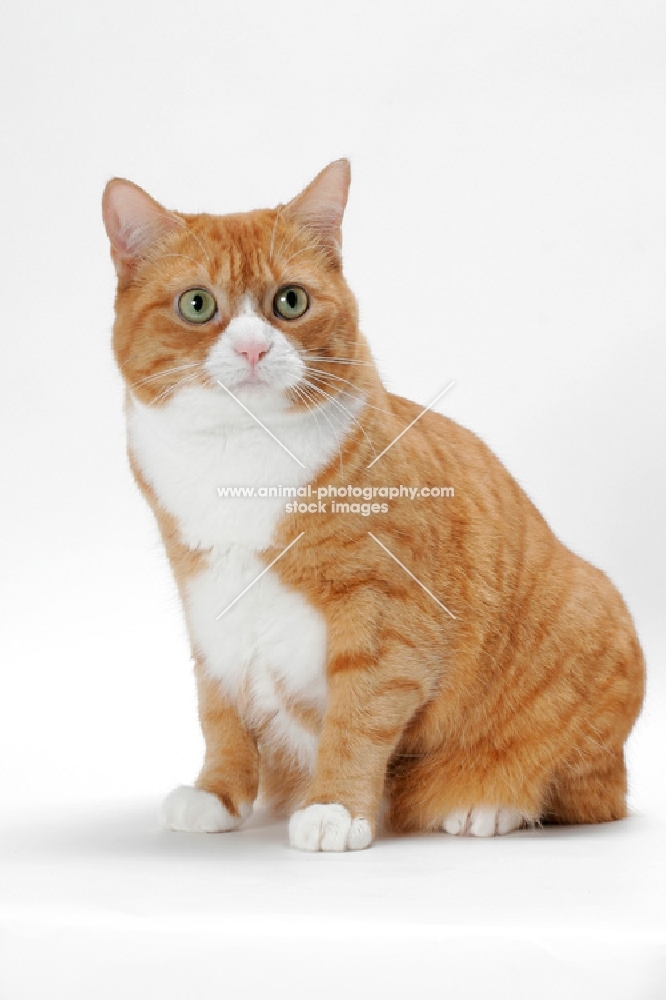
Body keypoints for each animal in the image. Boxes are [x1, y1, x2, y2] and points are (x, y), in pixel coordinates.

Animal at [102, 160, 644, 848]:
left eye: (291, 300)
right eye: (197, 305)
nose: (252, 349)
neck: (240, 456)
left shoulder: (388, 618)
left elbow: (358, 717)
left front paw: (334, 807)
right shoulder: (207, 601)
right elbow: (219, 710)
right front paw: (218, 796)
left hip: (592, 613)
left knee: (581, 790)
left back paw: (485, 804)